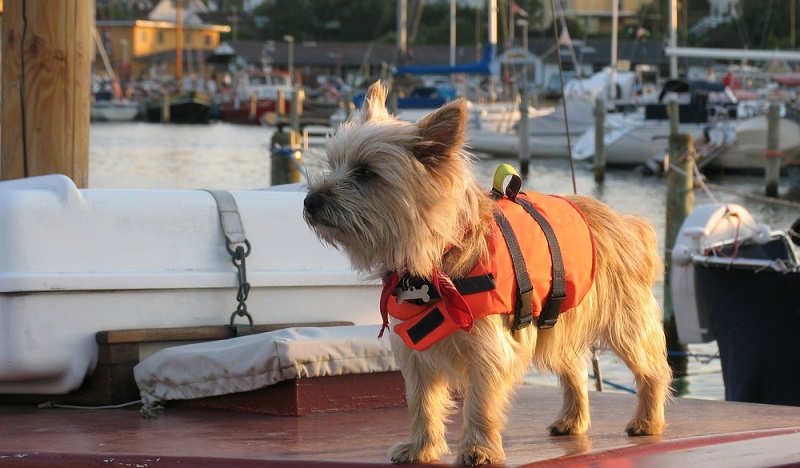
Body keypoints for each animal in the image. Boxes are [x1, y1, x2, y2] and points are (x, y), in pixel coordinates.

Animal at [303, 81, 672, 466]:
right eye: (333, 164)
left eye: (365, 173)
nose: (310, 201)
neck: (435, 259)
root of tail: (626, 223)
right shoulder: (415, 350)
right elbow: (422, 402)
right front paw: (420, 447)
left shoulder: (488, 348)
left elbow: (480, 402)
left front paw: (478, 449)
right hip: (557, 322)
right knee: (573, 368)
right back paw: (572, 420)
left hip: (625, 323)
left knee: (652, 370)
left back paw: (647, 420)